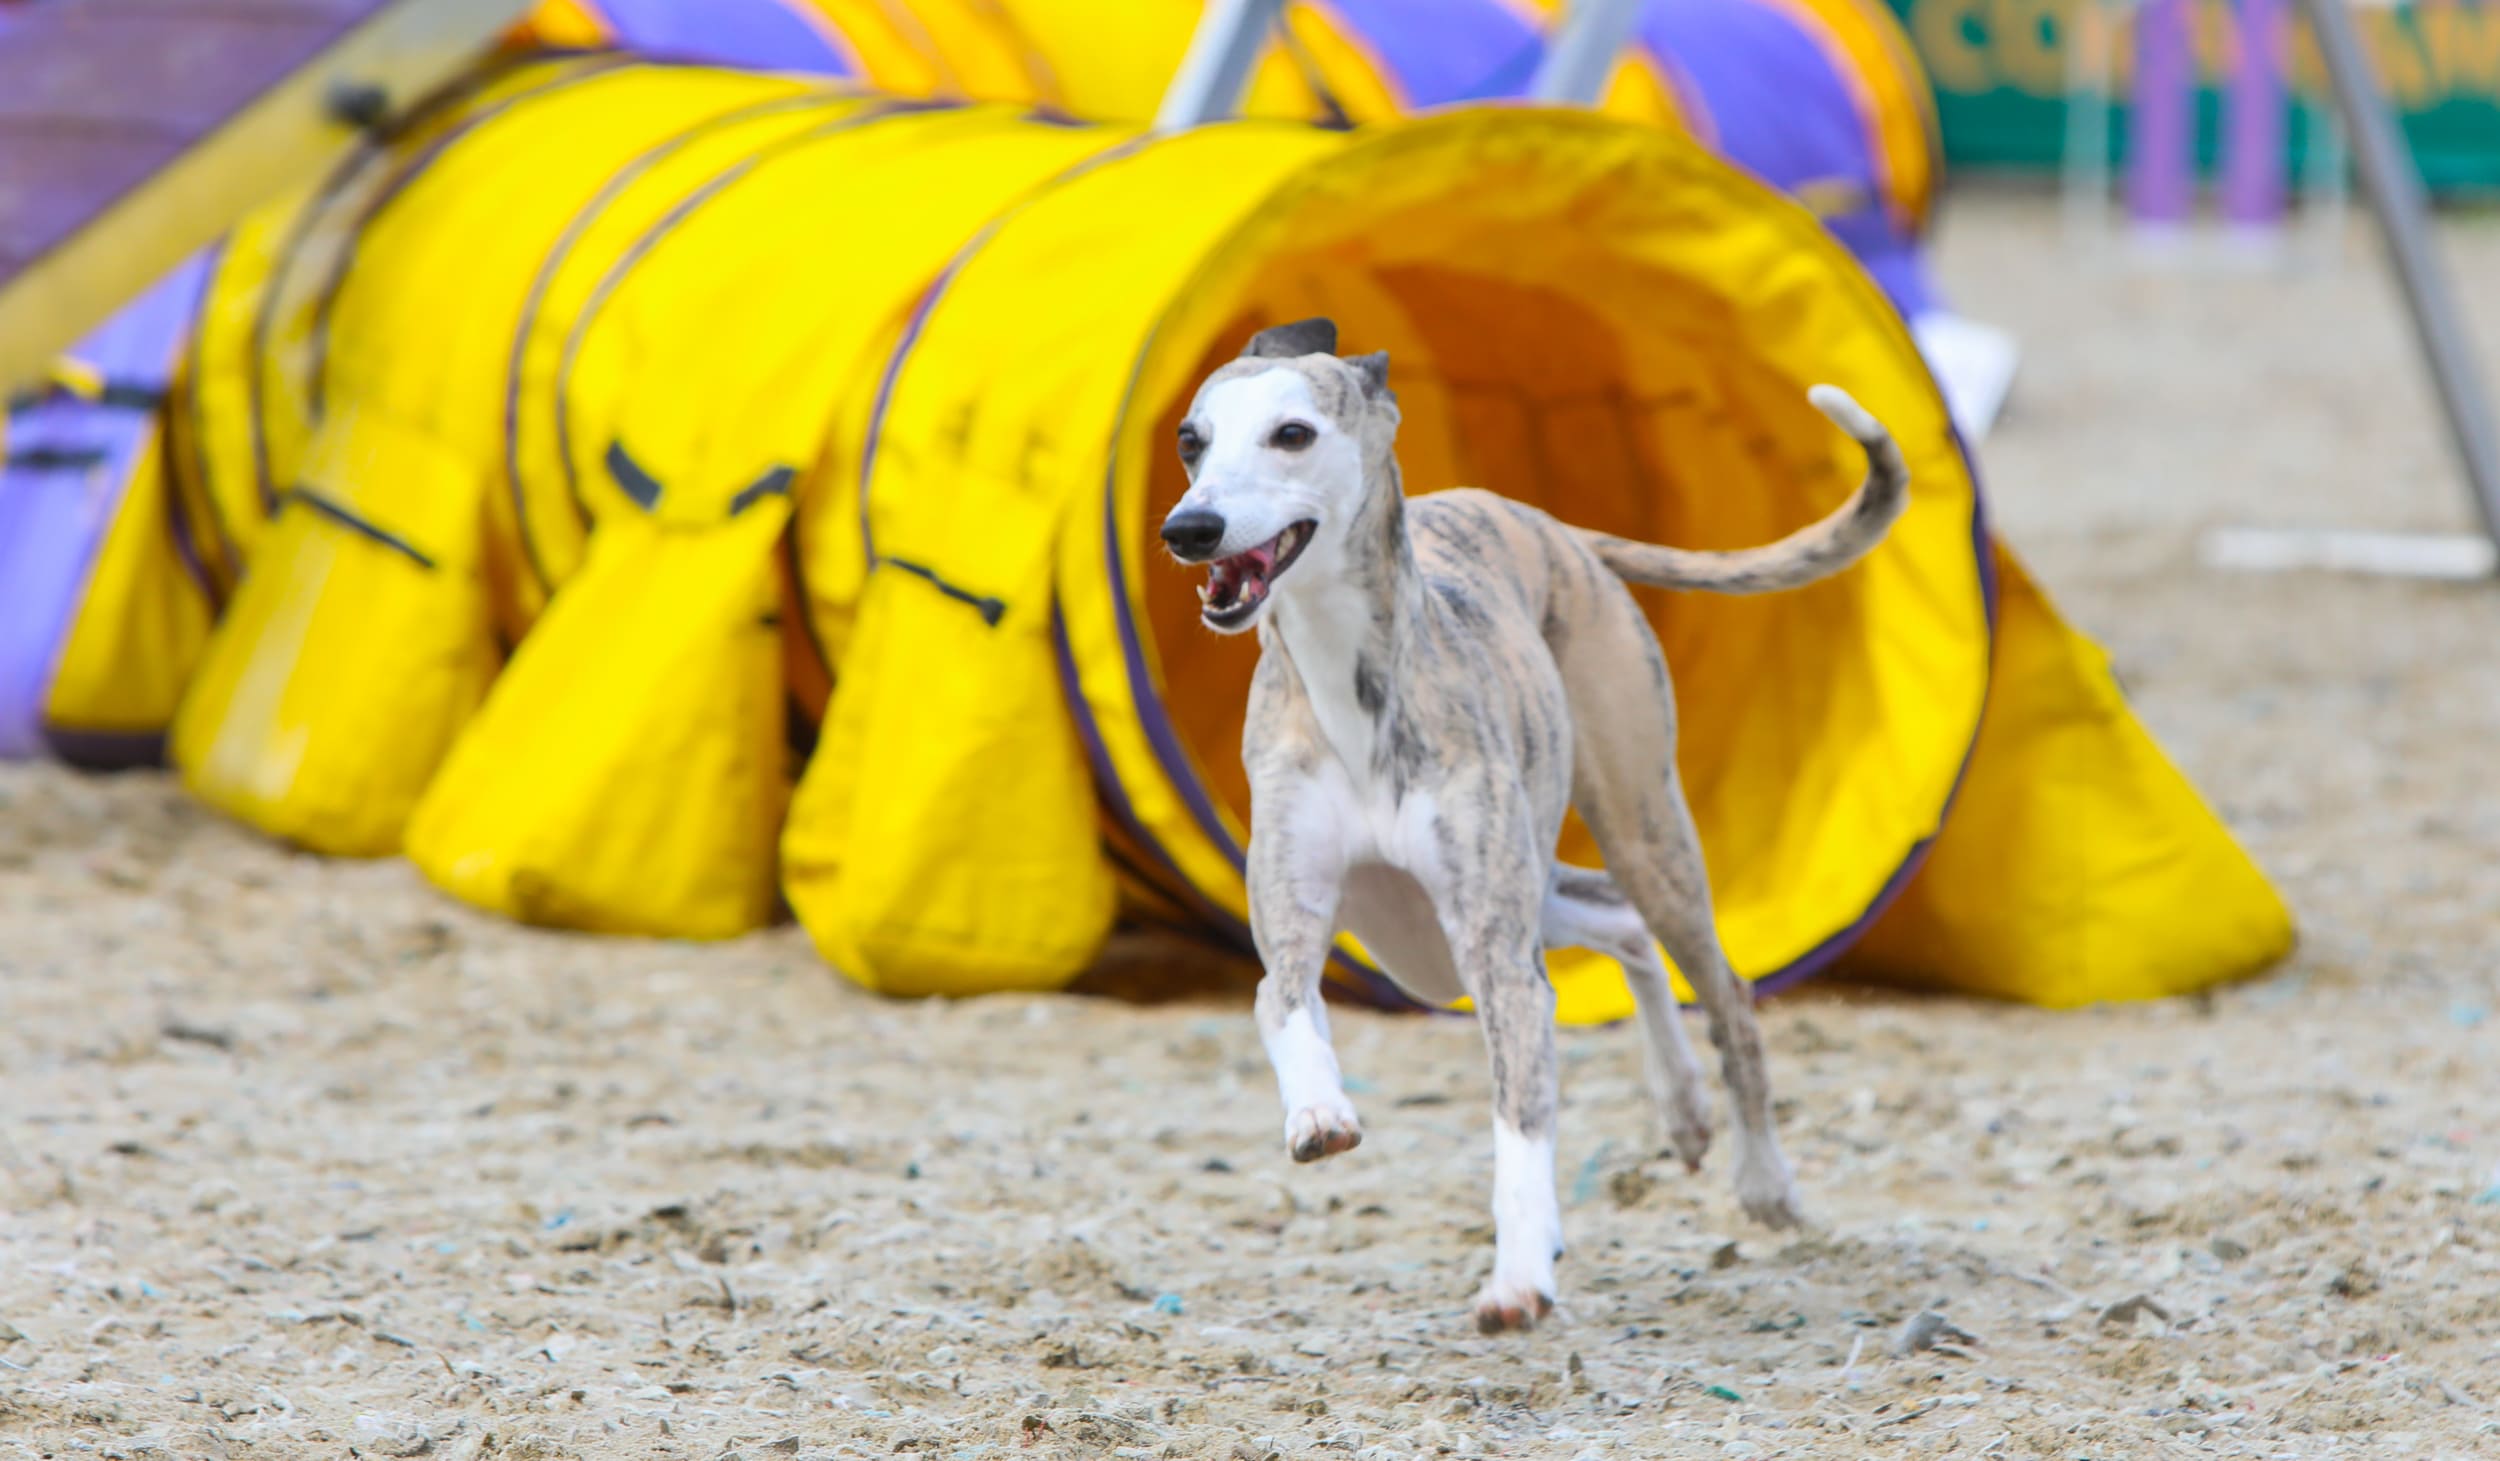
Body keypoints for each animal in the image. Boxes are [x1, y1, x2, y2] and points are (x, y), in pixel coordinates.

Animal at [1159, 318, 1909, 1332]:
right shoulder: (1296, 925)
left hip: (1639, 831)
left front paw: (1518, 1277)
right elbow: (1283, 1008)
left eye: (1293, 433)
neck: (1351, 686)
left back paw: (1764, 1179)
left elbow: (1520, 1125)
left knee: (1727, 992)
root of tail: (1557, 530)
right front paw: (1319, 1114)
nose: (1187, 529)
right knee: (1619, 926)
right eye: (1190, 441)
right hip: (1448, 937)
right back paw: (1682, 1106)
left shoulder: (1498, 963)